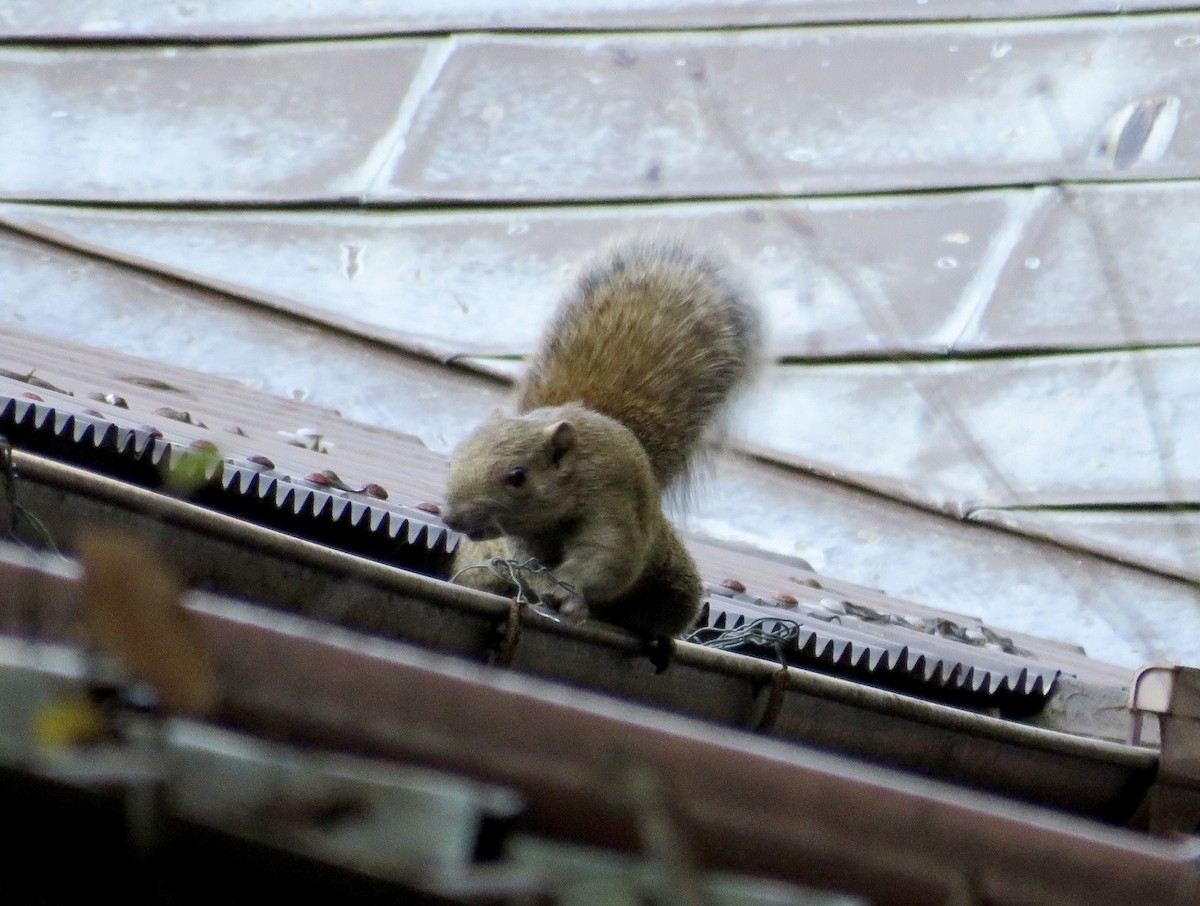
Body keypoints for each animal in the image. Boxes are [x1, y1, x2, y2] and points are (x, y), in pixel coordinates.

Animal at [442, 239, 761, 639]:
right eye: (452, 460)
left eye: (517, 476)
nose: (452, 518)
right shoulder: (521, 540)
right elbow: (531, 563)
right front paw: (543, 586)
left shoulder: (608, 495)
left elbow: (607, 557)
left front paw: (567, 593)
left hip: (671, 581)